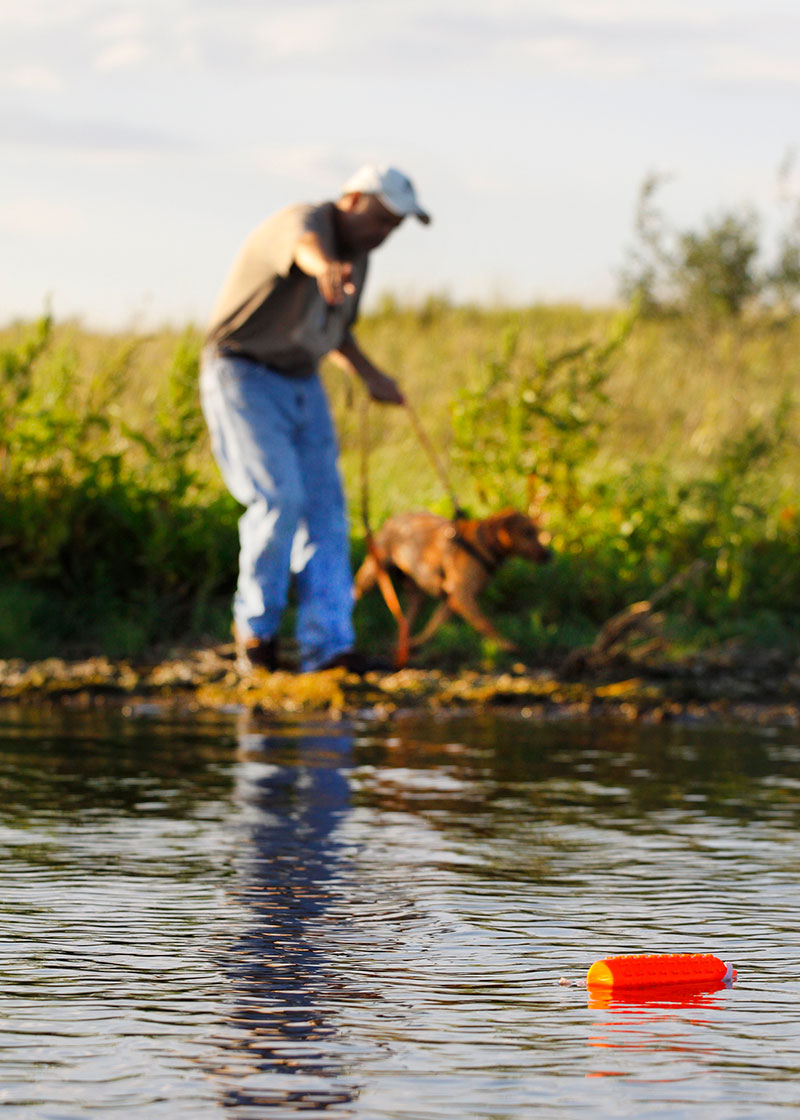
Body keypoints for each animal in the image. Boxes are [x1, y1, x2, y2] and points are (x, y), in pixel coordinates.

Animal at [351, 510, 551, 654]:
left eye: (536, 532)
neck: (483, 544)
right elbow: (486, 623)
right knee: (354, 591)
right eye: (527, 533)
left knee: (408, 615)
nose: (549, 555)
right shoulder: (463, 596)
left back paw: (403, 641)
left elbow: (433, 626)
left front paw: (417, 643)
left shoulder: (451, 600)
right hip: (371, 573)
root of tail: (391, 520)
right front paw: (506, 645)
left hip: (414, 589)